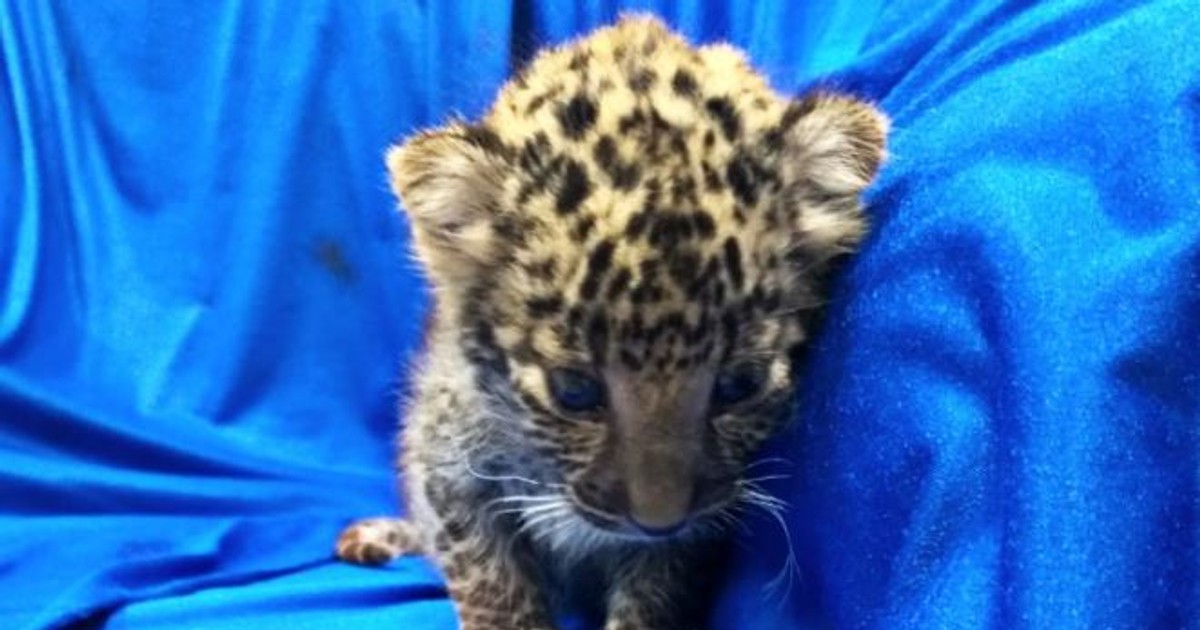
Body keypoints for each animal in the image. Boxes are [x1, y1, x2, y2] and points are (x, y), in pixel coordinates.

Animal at [336, 14, 887, 630]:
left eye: (739, 385)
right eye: (574, 392)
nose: (658, 521)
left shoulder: (693, 535)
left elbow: (655, 596)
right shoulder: (449, 472)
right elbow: (490, 584)